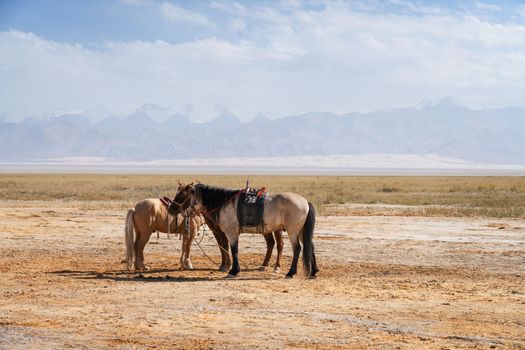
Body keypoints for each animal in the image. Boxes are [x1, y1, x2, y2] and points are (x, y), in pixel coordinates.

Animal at [173, 183, 320, 278]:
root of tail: (306, 202)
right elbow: (229, 249)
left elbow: (233, 250)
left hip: (293, 231)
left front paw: (233, 271)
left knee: (297, 248)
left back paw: (290, 273)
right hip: (301, 231)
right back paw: (313, 272)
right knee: (310, 246)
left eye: (186, 196)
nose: (186, 212)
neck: (224, 204)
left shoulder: (231, 233)